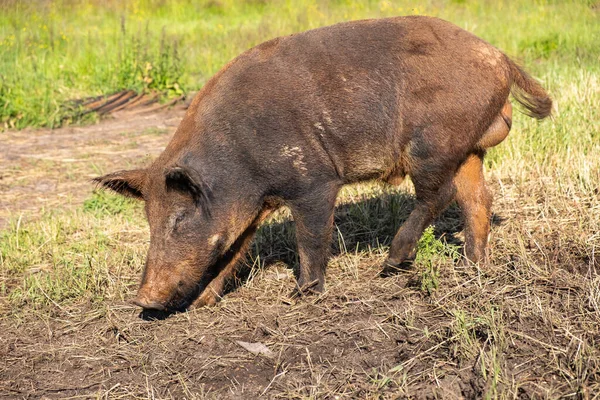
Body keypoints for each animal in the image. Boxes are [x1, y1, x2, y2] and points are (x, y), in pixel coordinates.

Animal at [96, 16, 552, 312]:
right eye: (150, 220)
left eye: (179, 219)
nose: (143, 299)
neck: (238, 162)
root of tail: (499, 56)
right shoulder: (252, 209)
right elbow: (232, 251)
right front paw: (202, 305)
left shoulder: (314, 181)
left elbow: (310, 236)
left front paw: (301, 295)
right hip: (469, 150)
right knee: (478, 200)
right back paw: (474, 267)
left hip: (432, 145)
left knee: (438, 196)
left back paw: (392, 264)